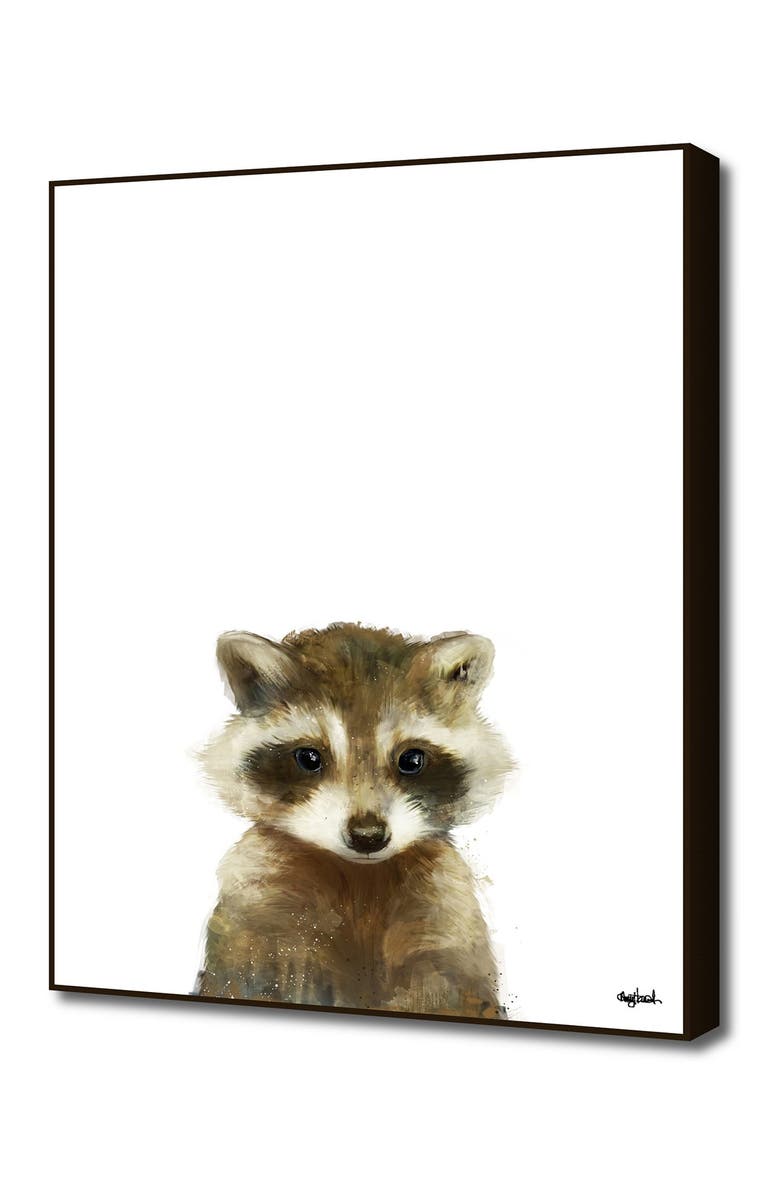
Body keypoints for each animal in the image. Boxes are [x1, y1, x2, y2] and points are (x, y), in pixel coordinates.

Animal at [195, 623, 513, 1019]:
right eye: (309, 758)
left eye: (411, 760)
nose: (367, 836)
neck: (360, 877)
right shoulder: (258, 908)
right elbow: (253, 977)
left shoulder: (445, 913)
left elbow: (453, 990)